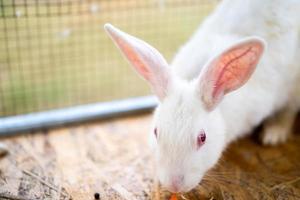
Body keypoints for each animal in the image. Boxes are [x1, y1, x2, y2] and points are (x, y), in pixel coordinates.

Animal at [103, 0, 300, 194]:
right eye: (156, 132)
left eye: (202, 138)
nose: (175, 185)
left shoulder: (289, 90)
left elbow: (287, 112)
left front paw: (273, 135)